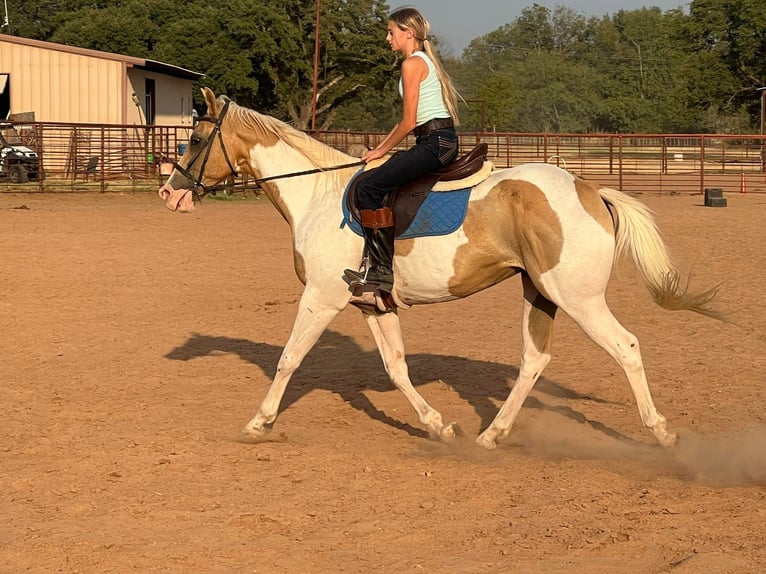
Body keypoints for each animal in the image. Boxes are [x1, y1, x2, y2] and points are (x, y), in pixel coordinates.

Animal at [159, 89, 724, 450]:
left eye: (194, 139)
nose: (169, 193)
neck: (316, 195)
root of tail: (590, 190)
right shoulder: (371, 304)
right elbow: (397, 369)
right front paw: (438, 427)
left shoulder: (321, 298)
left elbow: (289, 359)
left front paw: (259, 423)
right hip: (540, 293)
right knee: (533, 360)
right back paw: (491, 435)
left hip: (578, 298)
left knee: (625, 347)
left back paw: (661, 432)